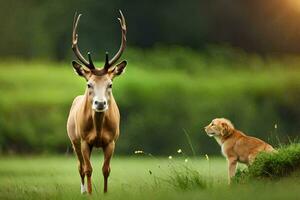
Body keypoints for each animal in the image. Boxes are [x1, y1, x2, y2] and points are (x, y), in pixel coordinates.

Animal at [67, 10, 127, 195]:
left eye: (110, 84)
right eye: (89, 84)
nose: (100, 104)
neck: (99, 129)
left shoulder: (112, 141)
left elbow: (106, 169)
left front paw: (106, 193)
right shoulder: (84, 140)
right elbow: (88, 169)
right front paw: (90, 193)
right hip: (74, 139)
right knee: (80, 167)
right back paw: (83, 191)